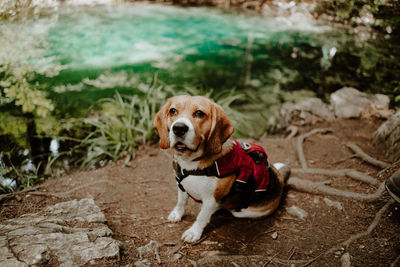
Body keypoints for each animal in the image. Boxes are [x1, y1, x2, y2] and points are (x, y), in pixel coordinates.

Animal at [154, 96, 290, 243]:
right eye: (173, 111)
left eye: (199, 113)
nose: (178, 128)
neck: (192, 164)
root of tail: (280, 179)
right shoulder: (181, 186)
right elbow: (181, 202)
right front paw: (177, 214)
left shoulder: (211, 199)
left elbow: (201, 217)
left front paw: (194, 232)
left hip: (245, 211)